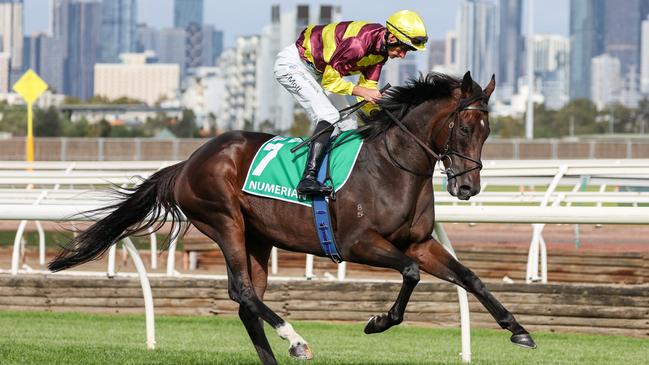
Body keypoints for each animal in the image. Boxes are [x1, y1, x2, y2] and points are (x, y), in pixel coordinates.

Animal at [48, 72, 536, 364]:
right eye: (464, 128)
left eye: (488, 131)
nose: (467, 189)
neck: (393, 167)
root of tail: (187, 162)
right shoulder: (359, 244)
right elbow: (411, 274)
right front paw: (378, 321)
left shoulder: (419, 242)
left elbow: (470, 278)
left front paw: (519, 331)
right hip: (225, 222)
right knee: (244, 291)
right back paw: (296, 339)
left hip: (259, 238)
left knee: (246, 302)